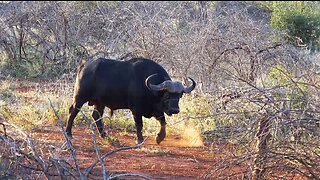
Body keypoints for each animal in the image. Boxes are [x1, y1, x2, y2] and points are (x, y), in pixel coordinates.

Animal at [65, 58, 195, 144]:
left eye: (179, 96)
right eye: (167, 95)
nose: (175, 110)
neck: (150, 90)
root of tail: (84, 65)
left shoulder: (157, 110)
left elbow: (163, 122)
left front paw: (159, 138)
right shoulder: (136, 110)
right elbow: (139, 124)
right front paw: (140, 140)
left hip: (99, 102)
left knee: (96, 115)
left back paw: (104, 135)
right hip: (80, 97)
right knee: (73, 111)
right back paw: (68, 133)